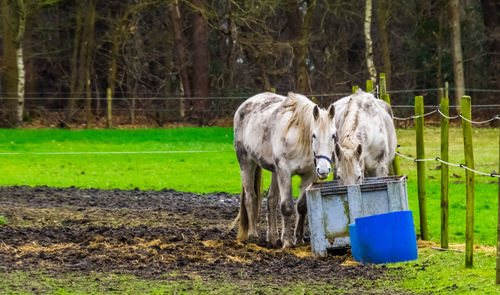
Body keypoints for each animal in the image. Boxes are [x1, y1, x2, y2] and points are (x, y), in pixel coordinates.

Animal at [233, 92, 336, 247]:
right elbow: (287, 207)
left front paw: (298, 238)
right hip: (246, 163)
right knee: (251, 198)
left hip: (274, 172)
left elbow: (301, 206)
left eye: (333, 136)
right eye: (314, 135)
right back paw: (253, 235)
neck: (300, 140)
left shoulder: (309, 176)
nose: (324, 170)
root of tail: (246, 104)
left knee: (271, 200)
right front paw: (287, 242)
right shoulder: (285, 172)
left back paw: (273, 237)